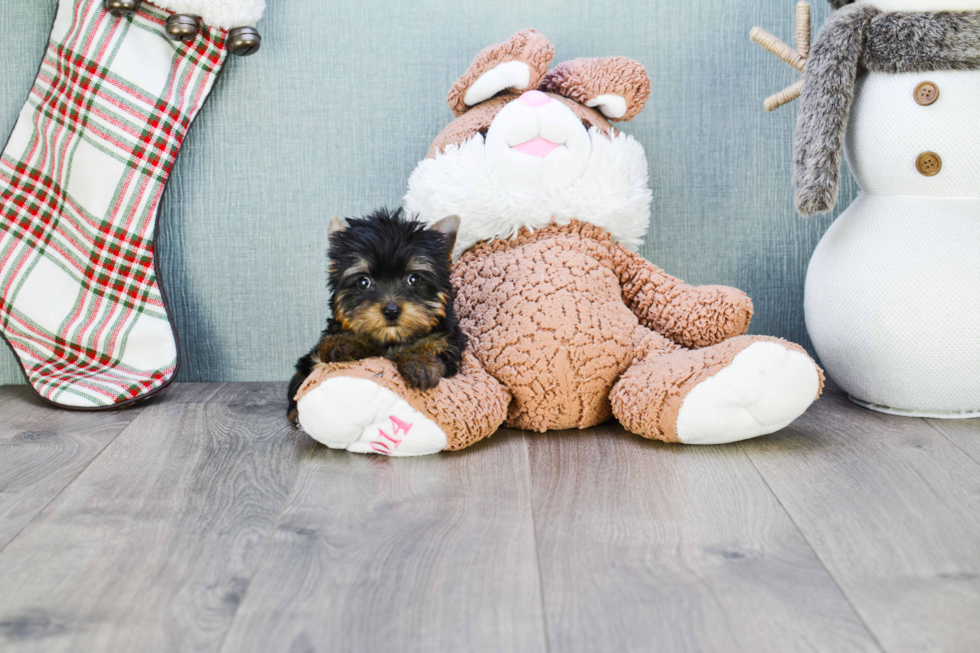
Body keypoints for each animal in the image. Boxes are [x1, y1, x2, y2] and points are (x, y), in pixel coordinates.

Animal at [288, 206, 464, 426]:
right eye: (364, 282)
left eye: (413, 279)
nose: (391, 310)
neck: (390, 340)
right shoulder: (317, 357)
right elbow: (326, 355)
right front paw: (344, 343)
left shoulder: (449, 343)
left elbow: (435, 346)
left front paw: (421, 362)